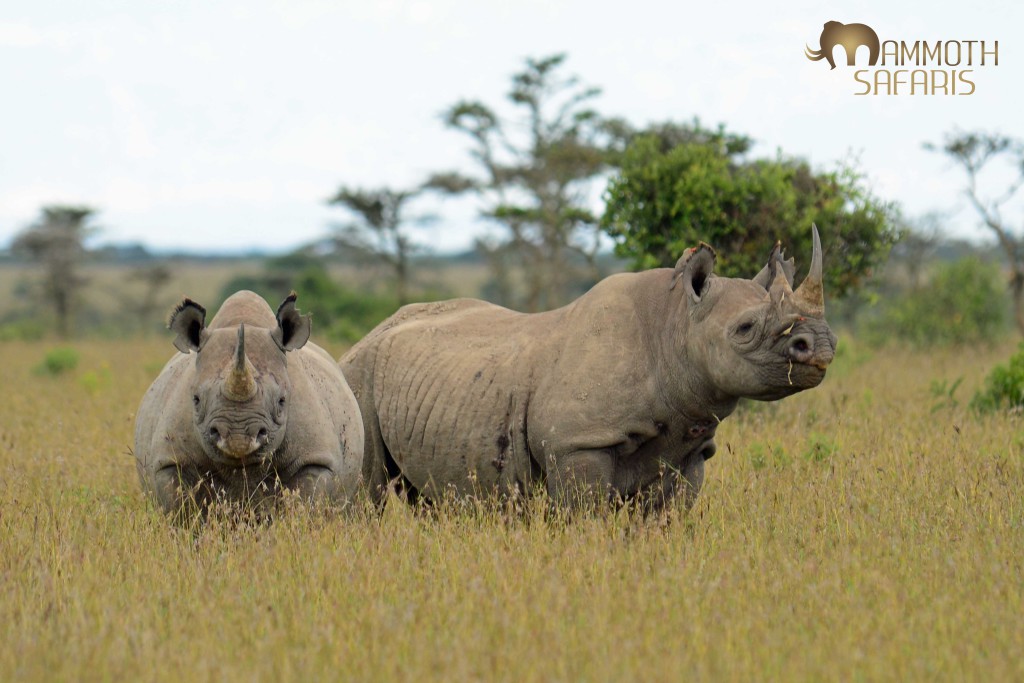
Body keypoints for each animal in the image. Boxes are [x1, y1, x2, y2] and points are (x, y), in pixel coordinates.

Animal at [134, 290, 363, 513]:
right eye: (196, 400)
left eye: (282, 401)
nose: (238, 439)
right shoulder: (170, 461)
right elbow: (180, 509)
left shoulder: (315, 459)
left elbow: (305, 505)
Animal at [340, 226, 837, 510]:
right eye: (745, 328)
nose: (822, 345)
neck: (675, 327)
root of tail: (365, 338)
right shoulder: (579, 443)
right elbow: (587, 517)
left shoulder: (690, 448)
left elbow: (670, 520)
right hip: (358, 377)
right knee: (368, 491)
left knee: (432, 499)